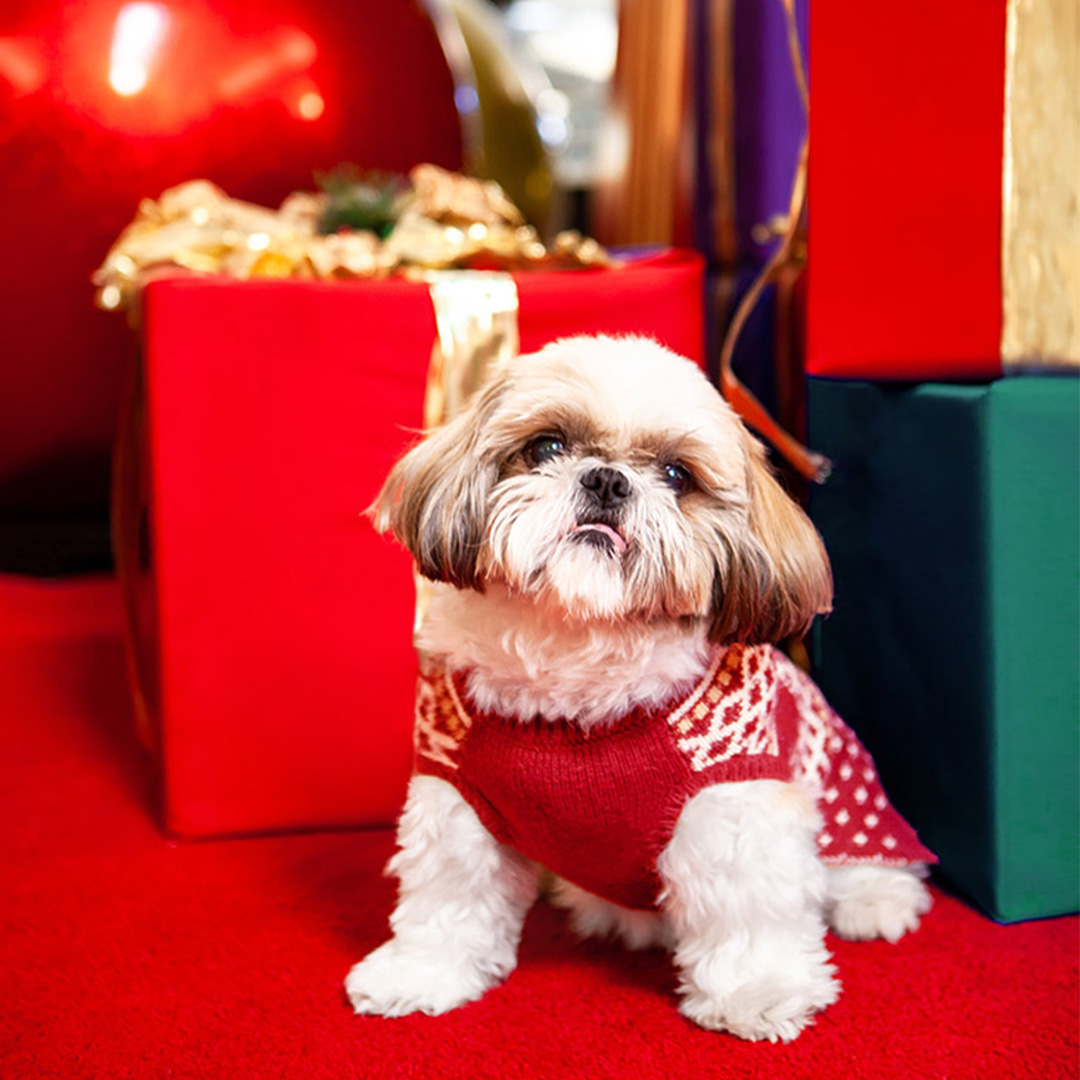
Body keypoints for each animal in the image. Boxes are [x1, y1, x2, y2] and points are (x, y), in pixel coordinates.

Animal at [347, 334, 937, 1036]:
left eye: (678, 476)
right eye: (547, 447)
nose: (606, 478)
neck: (578, 658)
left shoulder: (731, 804)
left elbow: (747, 910)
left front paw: (757, 991)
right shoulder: (457, 794)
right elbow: (448, 898)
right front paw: (420, 973)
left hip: (851, 809)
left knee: (871, 863)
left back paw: (875, 902)